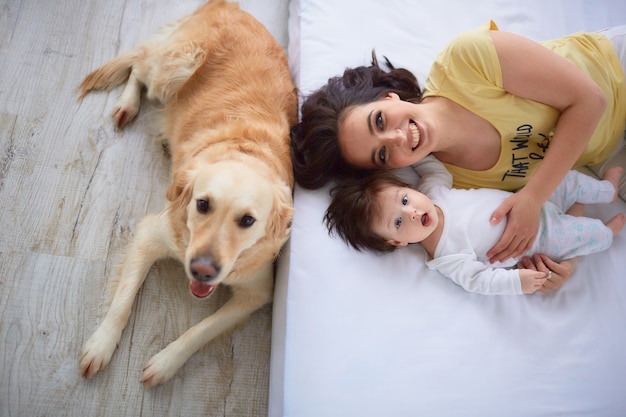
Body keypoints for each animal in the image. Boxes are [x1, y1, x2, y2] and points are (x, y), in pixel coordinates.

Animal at [75, 0, 294, 386]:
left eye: (248, 221)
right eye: (202, 204)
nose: (202, 271)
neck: (244, 153)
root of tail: (228, 4)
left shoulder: (256, 292)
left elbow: (200, 330)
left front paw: (165, 363)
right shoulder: (149, 234)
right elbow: (122, 303)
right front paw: (100, 345)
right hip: (177, 64)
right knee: (139, 65)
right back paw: (127, 104)